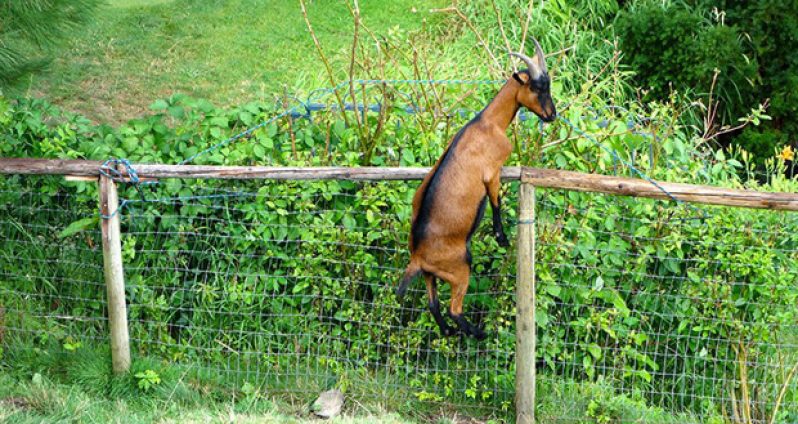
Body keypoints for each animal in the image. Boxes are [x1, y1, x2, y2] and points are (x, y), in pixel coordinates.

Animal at [396, 41, 556, 340]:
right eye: (538, 87)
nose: (552, 115)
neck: (488, 122)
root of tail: (417, 256)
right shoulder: (491, 173)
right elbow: (496, 201)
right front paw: (502, 238)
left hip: (430, 275)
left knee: (434, 305)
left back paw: (450, 332)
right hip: (460, 268)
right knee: (453, 309)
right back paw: (480, 333)